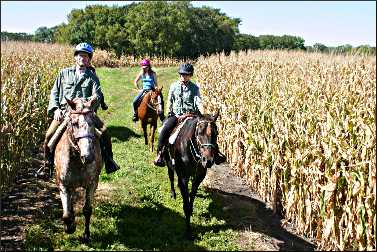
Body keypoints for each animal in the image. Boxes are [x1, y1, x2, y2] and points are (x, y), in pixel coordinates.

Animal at [53, 97, 102, 243]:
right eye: (74, 123)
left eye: (93, 122)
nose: (88, 156)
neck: (77, 161)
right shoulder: (63, 185)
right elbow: (66, 214)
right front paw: (69, 227)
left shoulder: (92, 184)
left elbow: (87, 210)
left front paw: (86, 235)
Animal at [163, 111, 219, 239]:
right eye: (199, 133)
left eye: (216, 133)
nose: (208, 160)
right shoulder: (184, 177)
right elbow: (186, 205)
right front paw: (188, 231)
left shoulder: (198, 177)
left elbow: (191, 198)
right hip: (168, 163)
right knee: (171, 177)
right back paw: (173, 194)